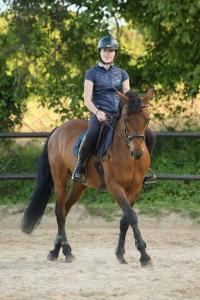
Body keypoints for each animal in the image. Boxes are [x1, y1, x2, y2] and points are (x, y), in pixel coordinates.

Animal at [20, 88, 155, 264]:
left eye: (147, 119)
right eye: (126, 119)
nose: (137, 152)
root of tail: (58, 129)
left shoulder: (135, 188)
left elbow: (125, 220)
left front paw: (121, 254)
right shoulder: (115, 186)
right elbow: (131, 216)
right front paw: (144, 256)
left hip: (79, 185)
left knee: (66, 209)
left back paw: (55, 251)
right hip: (59, 179)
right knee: (60, 212)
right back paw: (67, 251)